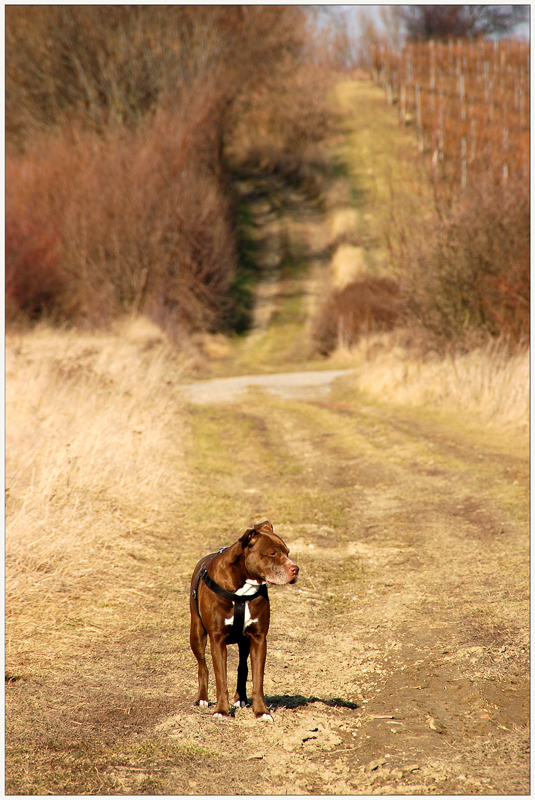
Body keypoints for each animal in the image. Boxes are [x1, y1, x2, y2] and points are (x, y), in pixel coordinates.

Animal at [191, 520, 300, 720]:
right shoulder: (217, 639)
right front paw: (221, 710)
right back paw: (202, 698)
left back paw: (240, 698)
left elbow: (258, 679)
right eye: (272, 553)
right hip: (196, 633)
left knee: (242, 667)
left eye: (287, 552)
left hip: (244, 642)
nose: (295, 569)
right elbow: (221, 679)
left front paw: (261, 712)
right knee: (203, 666)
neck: (243, 585)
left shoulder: (259, 638)